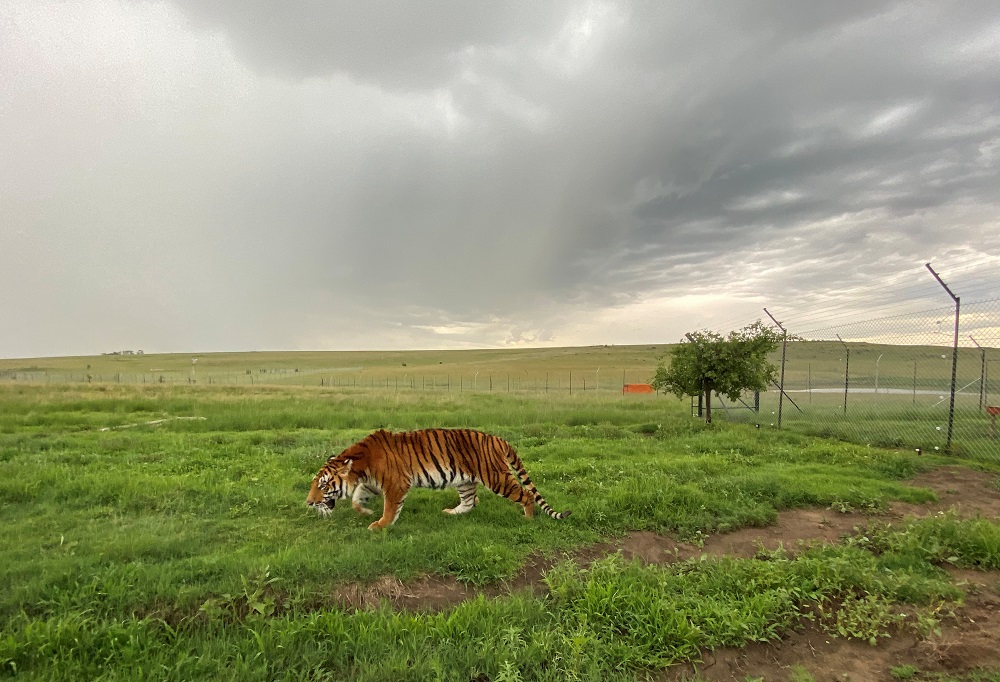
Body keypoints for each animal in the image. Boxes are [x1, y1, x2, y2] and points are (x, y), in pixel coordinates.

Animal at [306, 428, 571, 530]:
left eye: (323, 485)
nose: (308, 502)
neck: (360, 464)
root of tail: (498, 439)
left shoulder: (395, 484)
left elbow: (390, 508)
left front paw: (380, 525)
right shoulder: (371, 484)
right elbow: (357, 498)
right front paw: (365, 511)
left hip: (497, 478)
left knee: (525, 494)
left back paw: (527, 519)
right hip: (465, 481)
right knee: (469, 502)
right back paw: (451, 513)